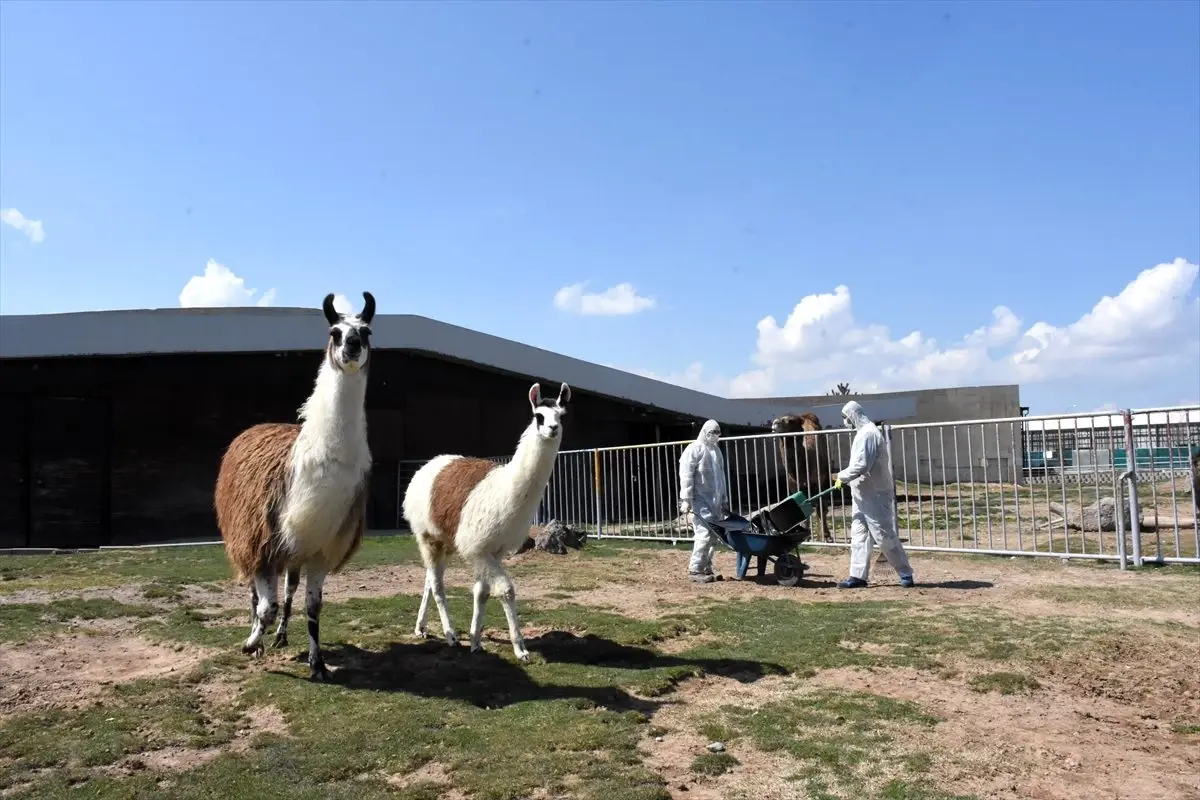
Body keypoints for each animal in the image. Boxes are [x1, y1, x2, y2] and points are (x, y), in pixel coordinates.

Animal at [768, 412, 835, 544]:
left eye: (791, 421)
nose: (775, 423)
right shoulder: (795, 486)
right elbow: (801, 510)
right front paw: (806, 536)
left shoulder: (819, 483)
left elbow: (821, 508)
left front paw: (826, 536)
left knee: (822, 508)